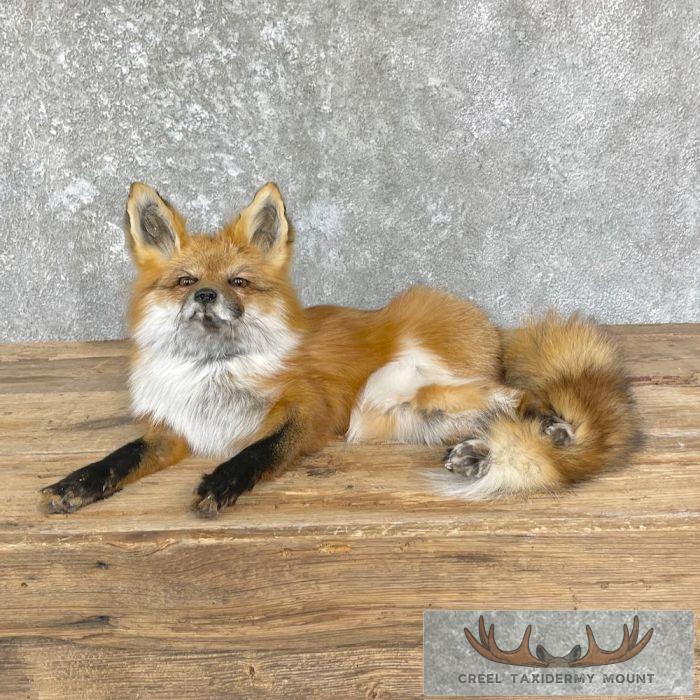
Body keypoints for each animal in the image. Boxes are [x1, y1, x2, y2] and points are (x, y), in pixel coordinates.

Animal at [41, 182, 640, 517]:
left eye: (238, 282)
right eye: (187, 281)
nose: (207, 296)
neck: (216, 375)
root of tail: (492, 327)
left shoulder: (312, 410)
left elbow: (257, 452)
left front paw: (222, 482)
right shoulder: (175, 429)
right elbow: (120, 456)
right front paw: (78, 483)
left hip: (400, 387)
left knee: (523, 400)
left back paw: (548, 435)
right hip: (396, 416)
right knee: (494, 412)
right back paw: (475, 455)